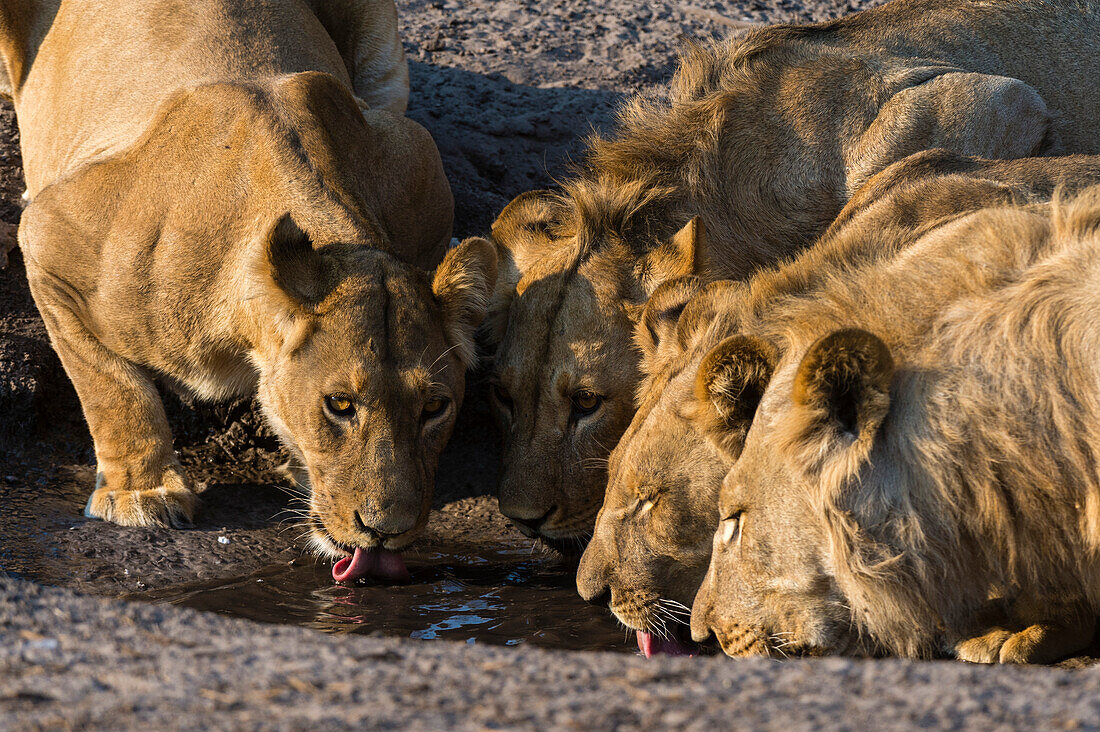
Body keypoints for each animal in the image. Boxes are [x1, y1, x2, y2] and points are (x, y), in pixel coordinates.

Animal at [3, 2, 495, 581]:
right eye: (340, 404)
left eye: (435, 407)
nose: (387, 530)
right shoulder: (48, 238)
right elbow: (111, 385)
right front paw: (141, 494)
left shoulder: (417, 162)